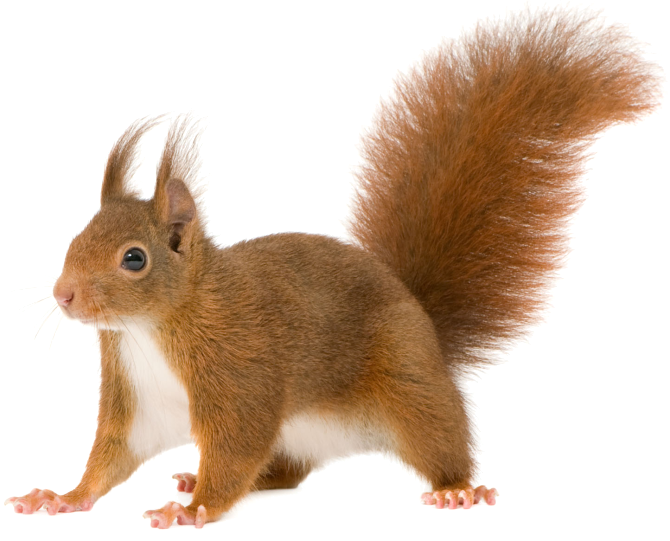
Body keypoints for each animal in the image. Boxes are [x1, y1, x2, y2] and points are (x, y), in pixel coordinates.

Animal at [4, 2, 665, 529]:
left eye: (134, 259)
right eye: (75, 237)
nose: (63, 296)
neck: (154, 328)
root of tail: (423, 321)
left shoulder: (238, 373)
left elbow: (235, 446)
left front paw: (194, 511)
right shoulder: (136, 396)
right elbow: (112, 456)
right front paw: (63, 498)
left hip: (407, 388)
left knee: (438, 438)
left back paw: (456, 489)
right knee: (283, 474)